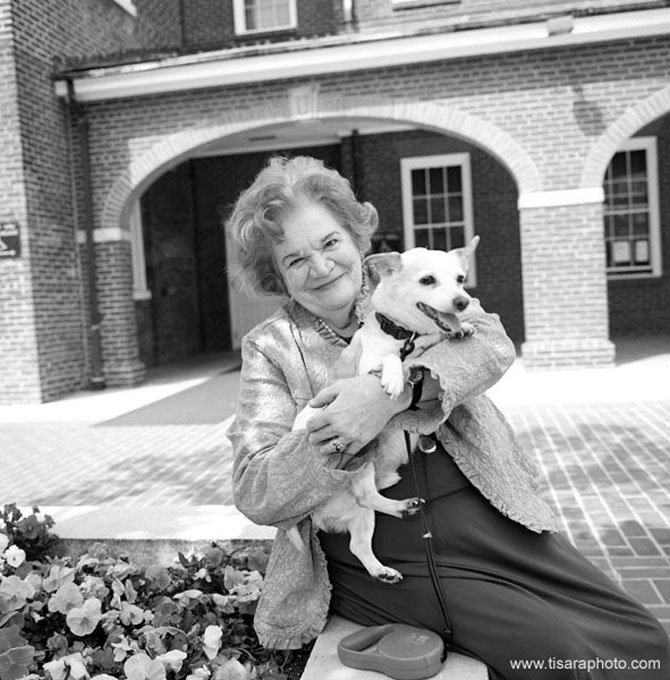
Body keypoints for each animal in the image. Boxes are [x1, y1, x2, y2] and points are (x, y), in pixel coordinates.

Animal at [292, 236, 480, 580]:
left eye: (461, 279)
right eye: (428, 280)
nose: (462, 301)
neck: (408, 335)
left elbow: (434, 343)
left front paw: (460, 329)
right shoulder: (370, 366)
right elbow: (392, 358)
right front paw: (394, 376)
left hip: (360, 514)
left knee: (360, 538)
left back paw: (388, 552)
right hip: (361, 452)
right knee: (365, 495)